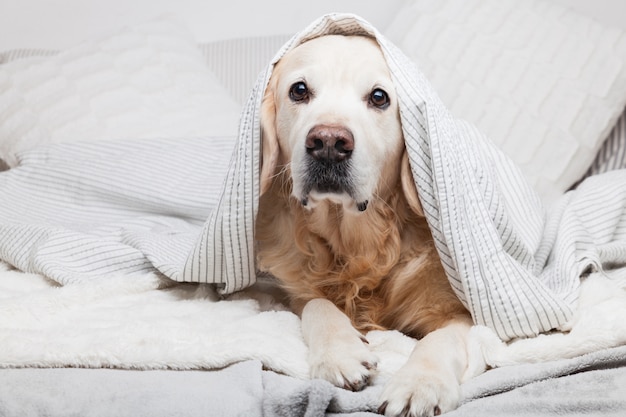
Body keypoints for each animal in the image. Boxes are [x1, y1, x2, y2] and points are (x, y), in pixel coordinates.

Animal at [254, 35, 472, 416]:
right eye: (299, 90)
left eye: (379, 97)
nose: (328, 142)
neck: (357, 243)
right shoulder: (299, 291)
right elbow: (318, 306)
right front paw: (339, 353)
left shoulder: (458, 310)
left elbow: (441, 339)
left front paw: (420, 383)